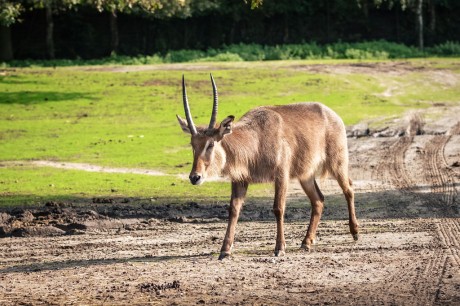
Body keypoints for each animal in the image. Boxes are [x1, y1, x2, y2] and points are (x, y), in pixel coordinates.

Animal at [176, 73, 360, 258]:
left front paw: (280, 248)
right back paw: (306, 242)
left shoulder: (281, 176)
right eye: (193, 144)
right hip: (306, 175)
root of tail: (331, 113)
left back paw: (355, 232)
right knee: (318, 200)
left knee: (348, 189)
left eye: (211, 144)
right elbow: (233, 209)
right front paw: (225, 250)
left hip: (337, 164)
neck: (256, 138)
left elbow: (278, 208)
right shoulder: (240, 180)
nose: (195, 177)